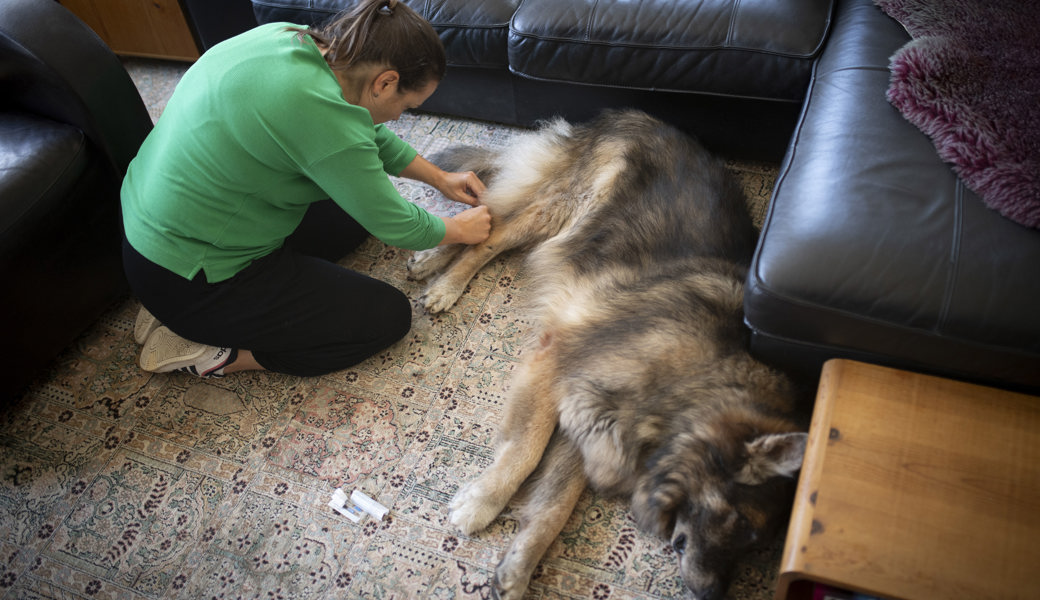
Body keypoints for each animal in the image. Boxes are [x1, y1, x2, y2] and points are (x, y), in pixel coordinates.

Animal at [405, 110, 802, 598]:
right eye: (743, 526)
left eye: (755, 546)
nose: (712, 594)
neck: (695, 384)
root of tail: (635, 116)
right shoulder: (558, 366)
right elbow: (525, 450)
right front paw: (483, 503)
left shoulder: (597, 428)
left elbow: (555, 505)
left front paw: (519, 566)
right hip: (560, 208)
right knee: (489, 233)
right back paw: (442, 277)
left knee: (486, 221)